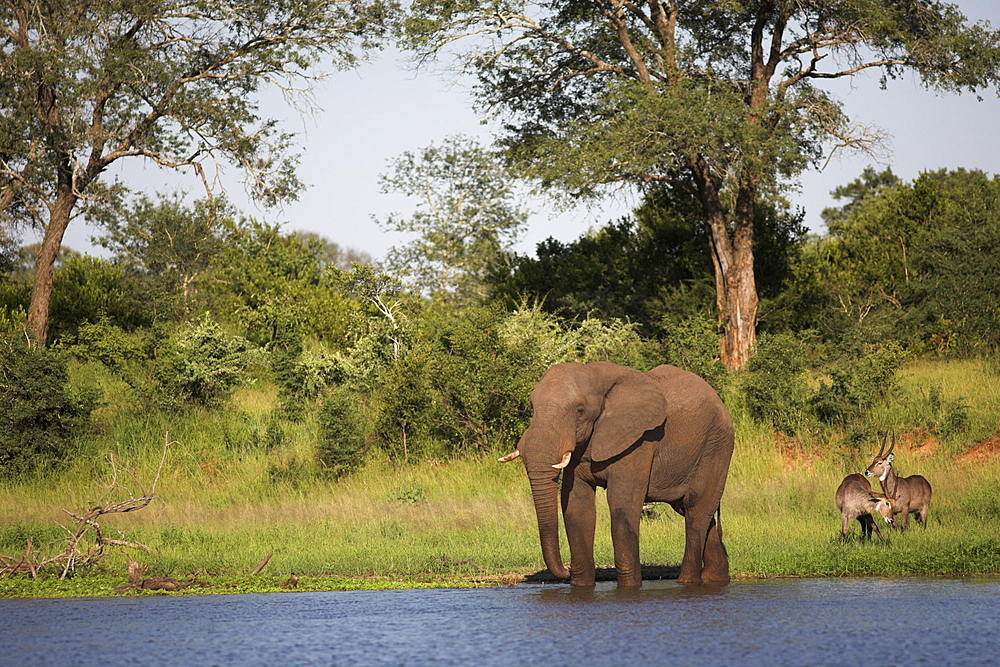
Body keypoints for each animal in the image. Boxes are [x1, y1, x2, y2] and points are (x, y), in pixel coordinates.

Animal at [500, 362, 736, 588]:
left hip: (716, 446)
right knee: (694, 510)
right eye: (532, 406)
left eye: (579, 410)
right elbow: (577, 508)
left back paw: (687, 582)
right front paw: (581, 587)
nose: (566, 572)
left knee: (696, 511)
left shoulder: (640, 440)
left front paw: (629, 588)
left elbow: (622, 505)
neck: (596, 375)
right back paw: (715, 579)